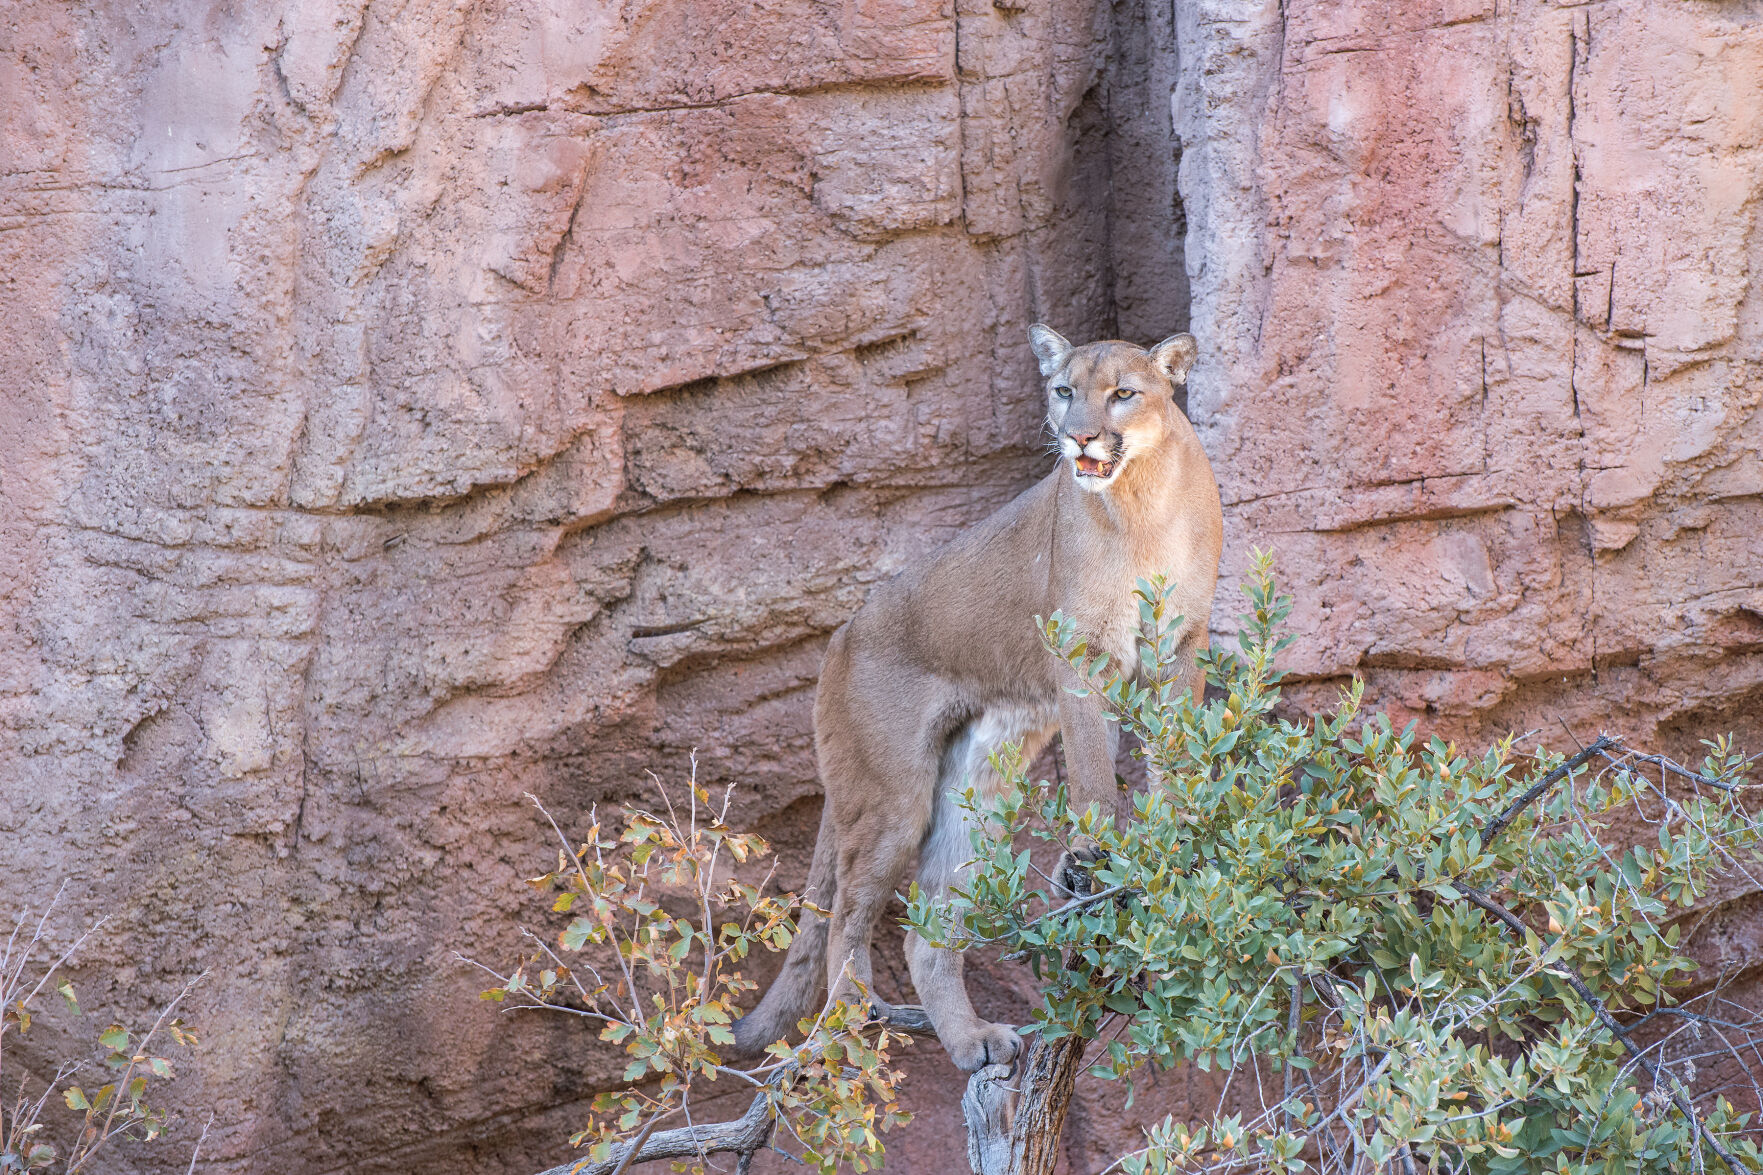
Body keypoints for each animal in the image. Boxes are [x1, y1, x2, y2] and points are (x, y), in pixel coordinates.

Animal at [733, 324, 1227, 1065]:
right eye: (1063, 391)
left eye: (1122, 393)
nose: (1078, 437)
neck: (1142, 501)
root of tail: (840, 635)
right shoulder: (1080, 652)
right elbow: (1092, 771)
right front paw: (1094, 858)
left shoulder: (1181, 645)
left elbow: (1174, 755)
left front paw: (1171, 843)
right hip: (889, 797)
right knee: (848, 913)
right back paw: (853, 1026)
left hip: (980, 787)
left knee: (924, 934)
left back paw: (973, 1041)